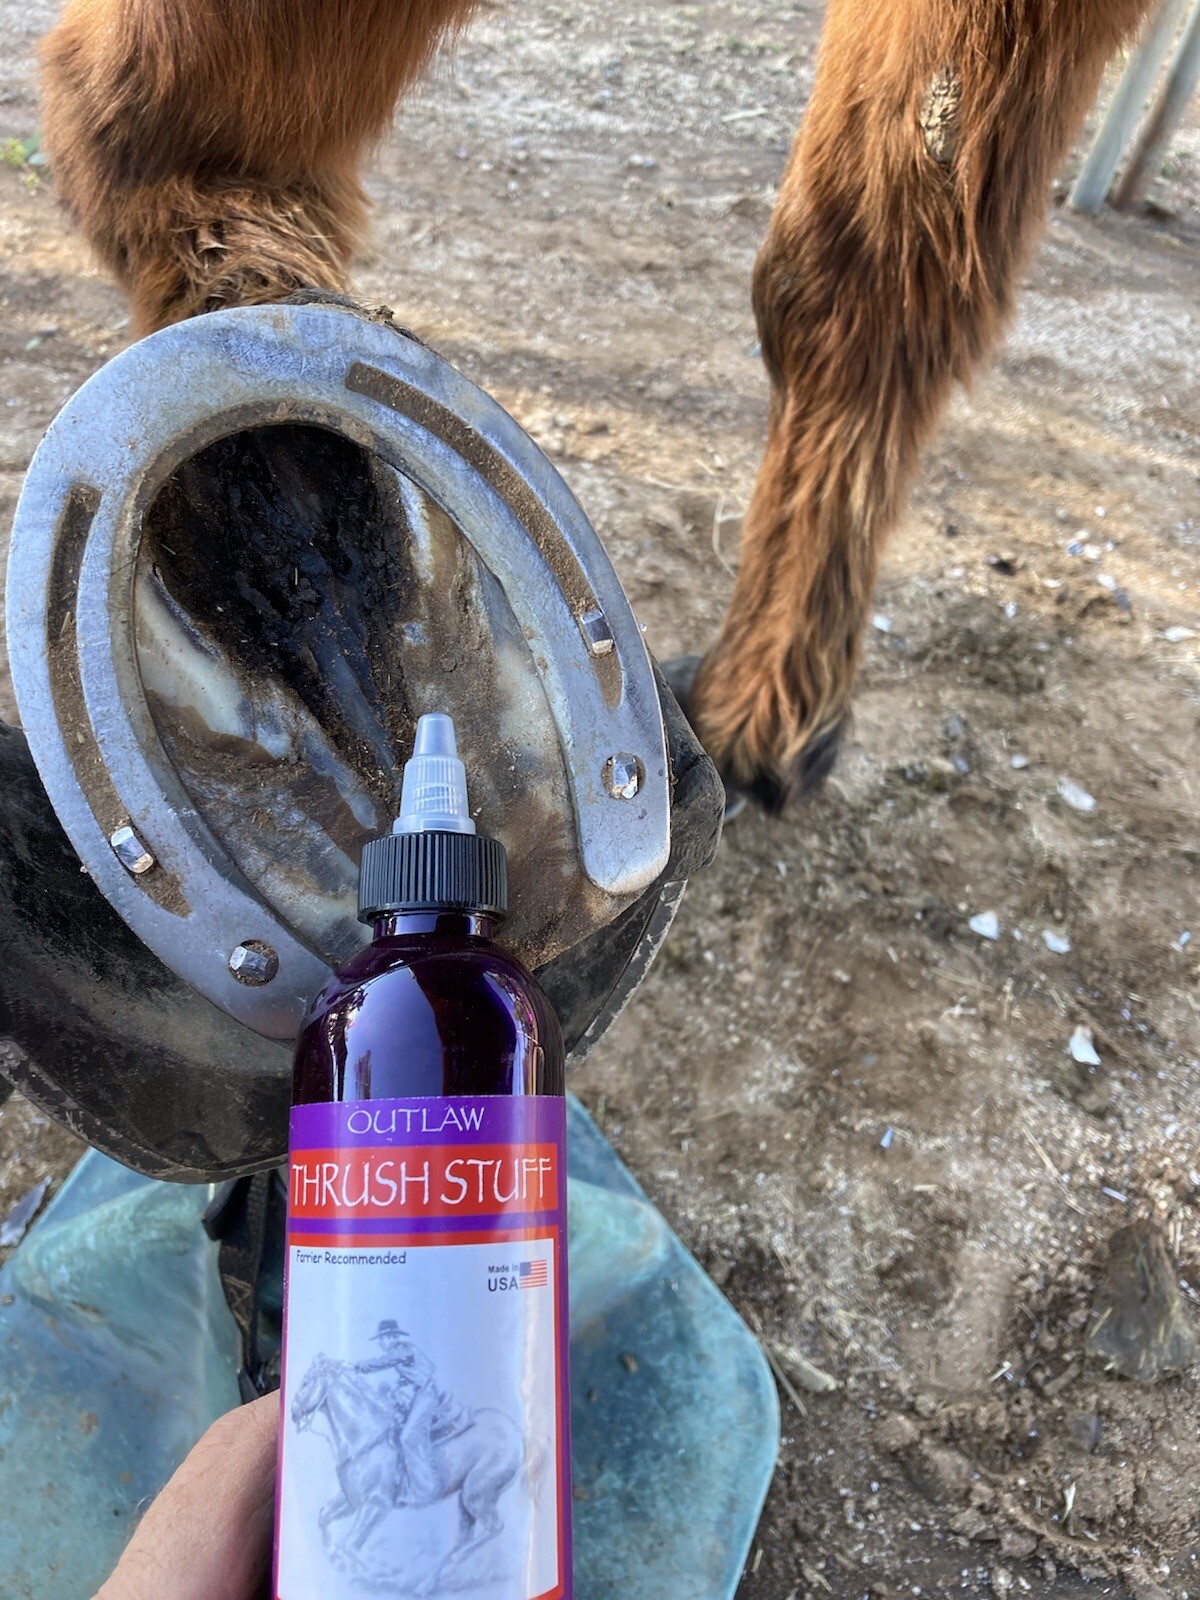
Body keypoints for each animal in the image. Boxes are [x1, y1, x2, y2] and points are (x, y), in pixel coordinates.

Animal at [289, 1352, 537, 1595]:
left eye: (306, 1382)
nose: (293, 1412)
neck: (366, 1436)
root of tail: (517, 1433)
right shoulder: (351, 1500)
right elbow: (324, 1519)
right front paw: (338, 1562)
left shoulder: (377, 1504)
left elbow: (350, 1544)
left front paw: (377, 1571)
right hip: (465, 1500)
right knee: (465, 1538)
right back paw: (429, 1582)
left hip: (476, 1494)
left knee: (494, 1528)